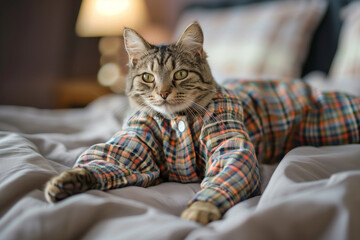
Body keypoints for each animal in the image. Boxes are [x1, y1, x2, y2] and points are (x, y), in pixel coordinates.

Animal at [45, 21, 360, 224]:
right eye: (147, 77)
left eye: (181, 74)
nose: (163, 92)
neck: (177, 121)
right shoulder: (134, 150)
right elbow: (101, 163)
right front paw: (66, 183)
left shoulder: (228, 141)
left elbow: (226, 172)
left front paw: (201, 209)